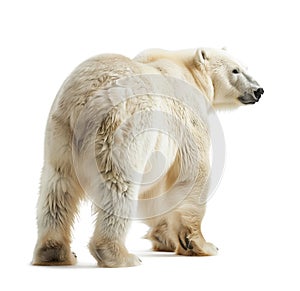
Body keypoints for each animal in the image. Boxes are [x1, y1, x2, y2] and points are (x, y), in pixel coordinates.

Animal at [32, 48, 262, 270]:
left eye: (246, 67)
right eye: (235, 70)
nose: (259, 90)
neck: (189, 72)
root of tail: (85, 98)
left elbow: (156, 192)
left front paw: (164, 238)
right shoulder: (187, 118)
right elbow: (193, 174)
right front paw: (201, 244)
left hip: (60, 131)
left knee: (58, 185)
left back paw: (55, 252)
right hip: (121, 126)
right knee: (118, 186)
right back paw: (119, 255)